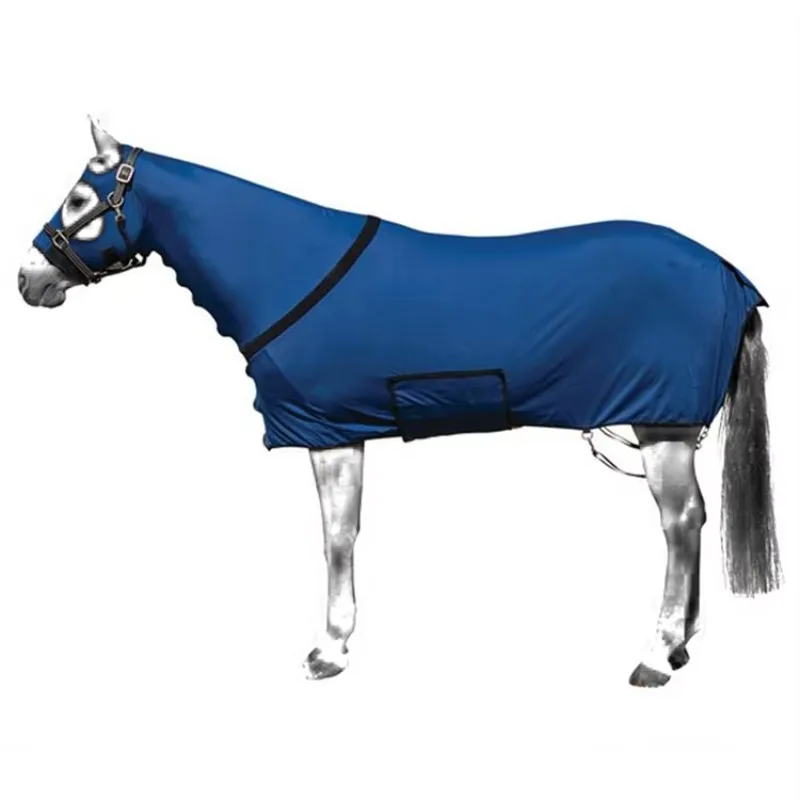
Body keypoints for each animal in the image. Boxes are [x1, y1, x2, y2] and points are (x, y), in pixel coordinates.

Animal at [17, 119, 783, 687]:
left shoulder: (328, 431)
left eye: (82, 200)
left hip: (661, 429)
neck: (287, 268)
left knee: (680, 525)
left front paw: (328, 649)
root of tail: (728, 272)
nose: (28, 279)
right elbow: (345, 533)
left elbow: (336, 537)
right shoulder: (340, 430)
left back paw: (655, 656)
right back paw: (680, 645)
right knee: (695, 521)